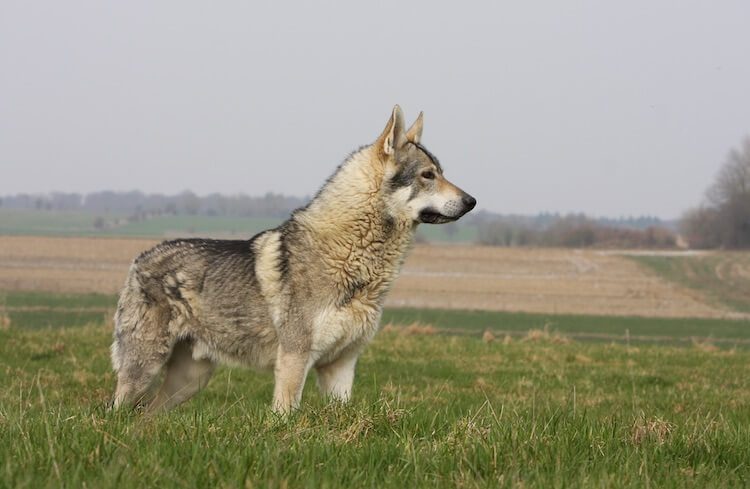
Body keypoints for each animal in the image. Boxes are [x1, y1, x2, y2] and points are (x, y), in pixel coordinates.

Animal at [110, 106, 476, 412]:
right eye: (428, 175)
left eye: (442, 173)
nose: (472, 201)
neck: (354, 260)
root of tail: (140, 257)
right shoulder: (294, 358)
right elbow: (285, 415)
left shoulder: (341, 365)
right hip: (144, 370)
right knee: (118, 411)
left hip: (188, 381)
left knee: (147, 416)